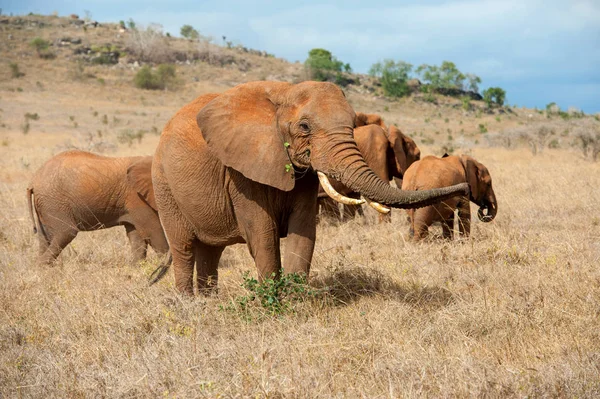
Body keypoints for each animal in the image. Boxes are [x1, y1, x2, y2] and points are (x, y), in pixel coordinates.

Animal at [26, 151, 168, 266]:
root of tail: (33, 181)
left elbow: (136, 235)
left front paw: (137, 267)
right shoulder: (136, 197)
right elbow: (153, 230)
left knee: (44, 237)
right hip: (54, 202)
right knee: (66, 232)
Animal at [150, 81, 468, 296]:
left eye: (352, 125)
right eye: (304, 127)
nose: (464, 187)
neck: (282, 92)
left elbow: (303, 231)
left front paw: (295, 301)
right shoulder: (241, 169)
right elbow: (263, 234)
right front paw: (273, 303)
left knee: (210, 251)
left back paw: (209, 301)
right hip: (164, 185)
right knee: (184, 247)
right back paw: (189, 304)